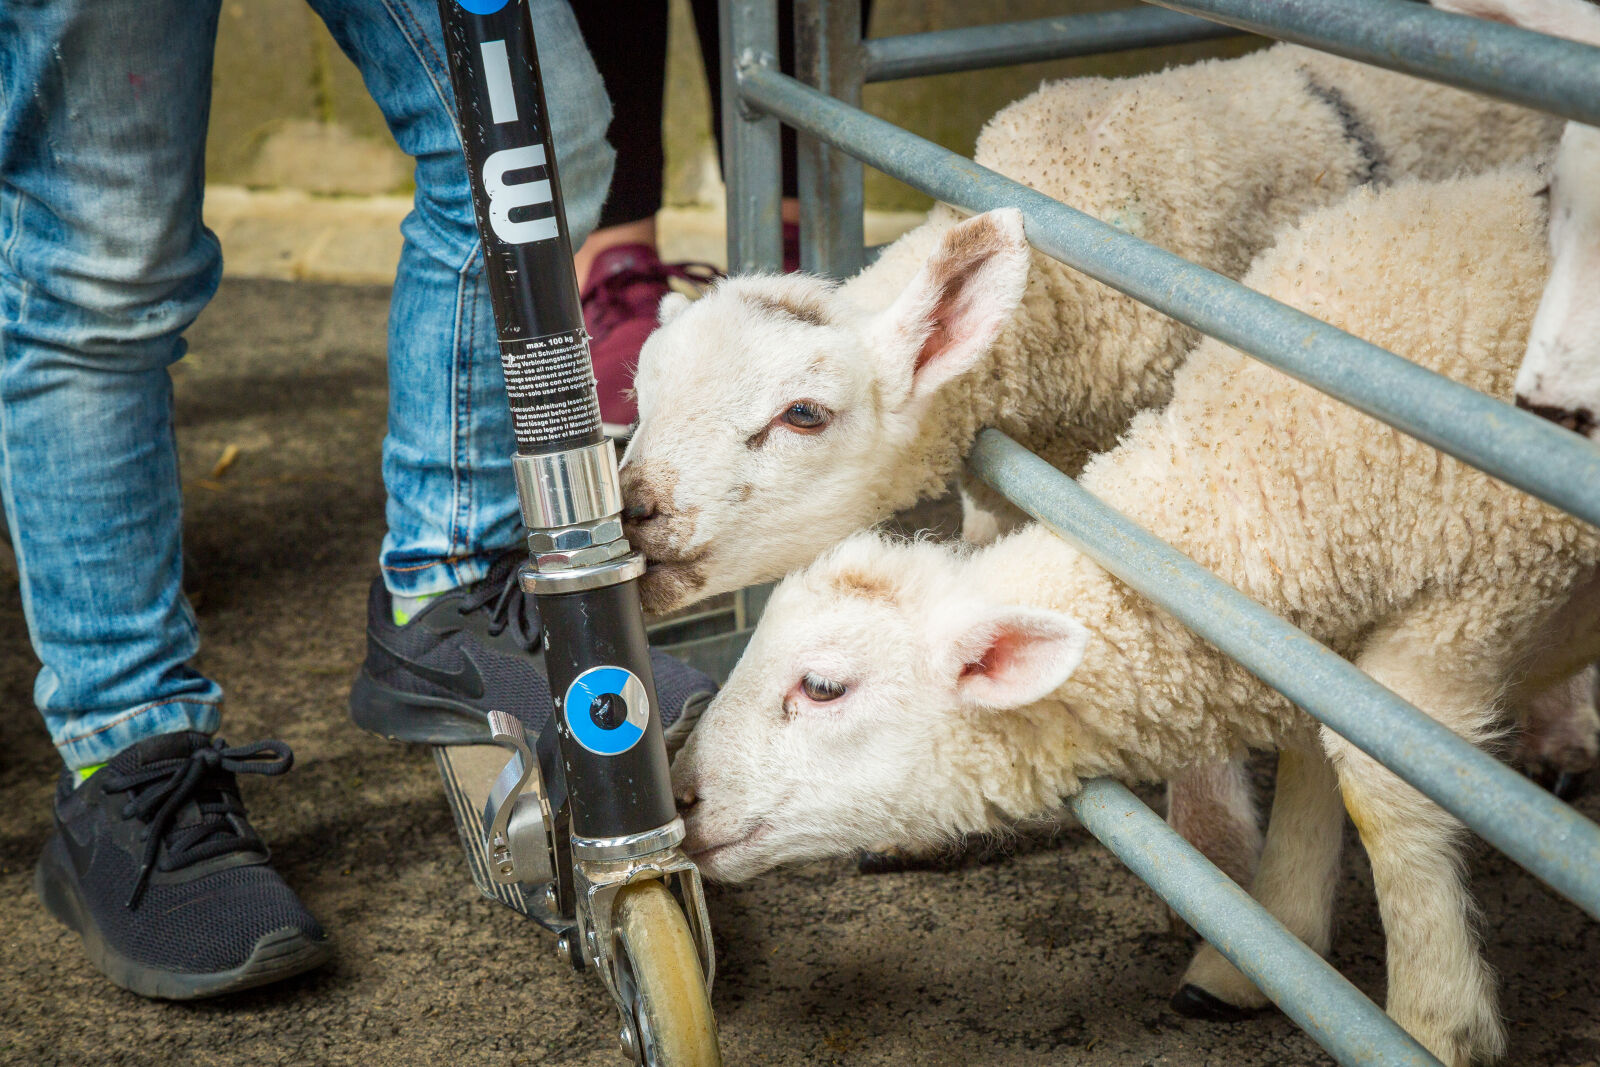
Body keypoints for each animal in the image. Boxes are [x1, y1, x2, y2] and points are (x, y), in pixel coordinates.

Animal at [670, 165, 1600, 1066]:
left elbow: (1382, 786)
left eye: (824, 687)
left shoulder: (1485, 593)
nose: (678, 795)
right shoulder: (1310, 642)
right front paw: (1266, 945)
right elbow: (1315, 755)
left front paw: (1435, 1018)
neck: (1273, 483)